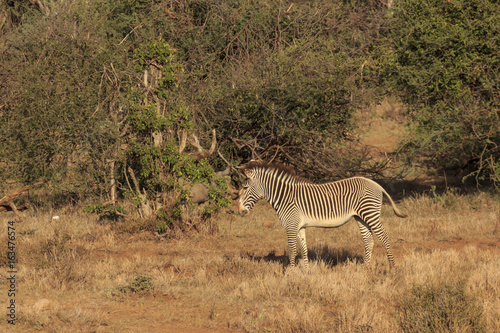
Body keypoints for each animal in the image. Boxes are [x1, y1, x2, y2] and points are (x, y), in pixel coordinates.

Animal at [238, 162, 406, 268]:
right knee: (368, 241)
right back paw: (366, 268)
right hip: (361, 217)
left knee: (384, 238)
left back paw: (392, 268)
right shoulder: (299, 226)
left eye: (245, 187)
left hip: (370, 214)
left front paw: (289, 274)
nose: (240, 211)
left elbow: (292, 250)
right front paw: (306, 272)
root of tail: (376, 184)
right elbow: (303, 249)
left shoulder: (291, 225)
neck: (285, 197)